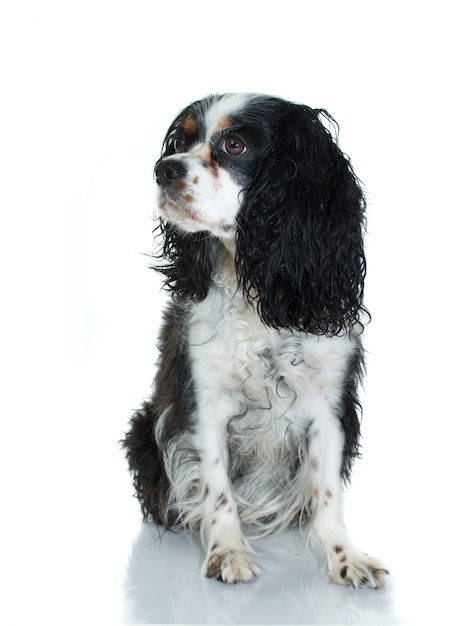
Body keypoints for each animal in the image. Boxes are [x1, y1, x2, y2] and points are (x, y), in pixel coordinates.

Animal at [122, 91, 388, 584]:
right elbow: (217, 486)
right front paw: (228, 550)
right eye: (182, 142)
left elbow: (327, 493)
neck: (257, 283)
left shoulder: (330, 405)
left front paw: (345, 557)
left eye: (235, 145)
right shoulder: (205, 403)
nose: (164, 169)